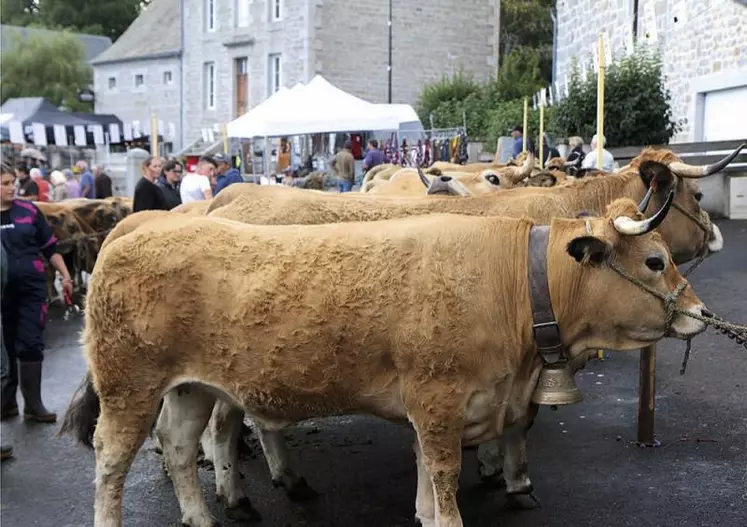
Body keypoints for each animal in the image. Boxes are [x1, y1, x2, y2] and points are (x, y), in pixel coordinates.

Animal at [62, 197, 708, 527]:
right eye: (655, 261)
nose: (700, 313)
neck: (513, 283)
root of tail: (134, 231)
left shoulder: (435, 405)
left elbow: (425, 479)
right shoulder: (440, 399)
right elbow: (444, 485)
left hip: (190, 388)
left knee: (176, 448)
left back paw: (202, 517)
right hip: (128, 387)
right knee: (111, 464)